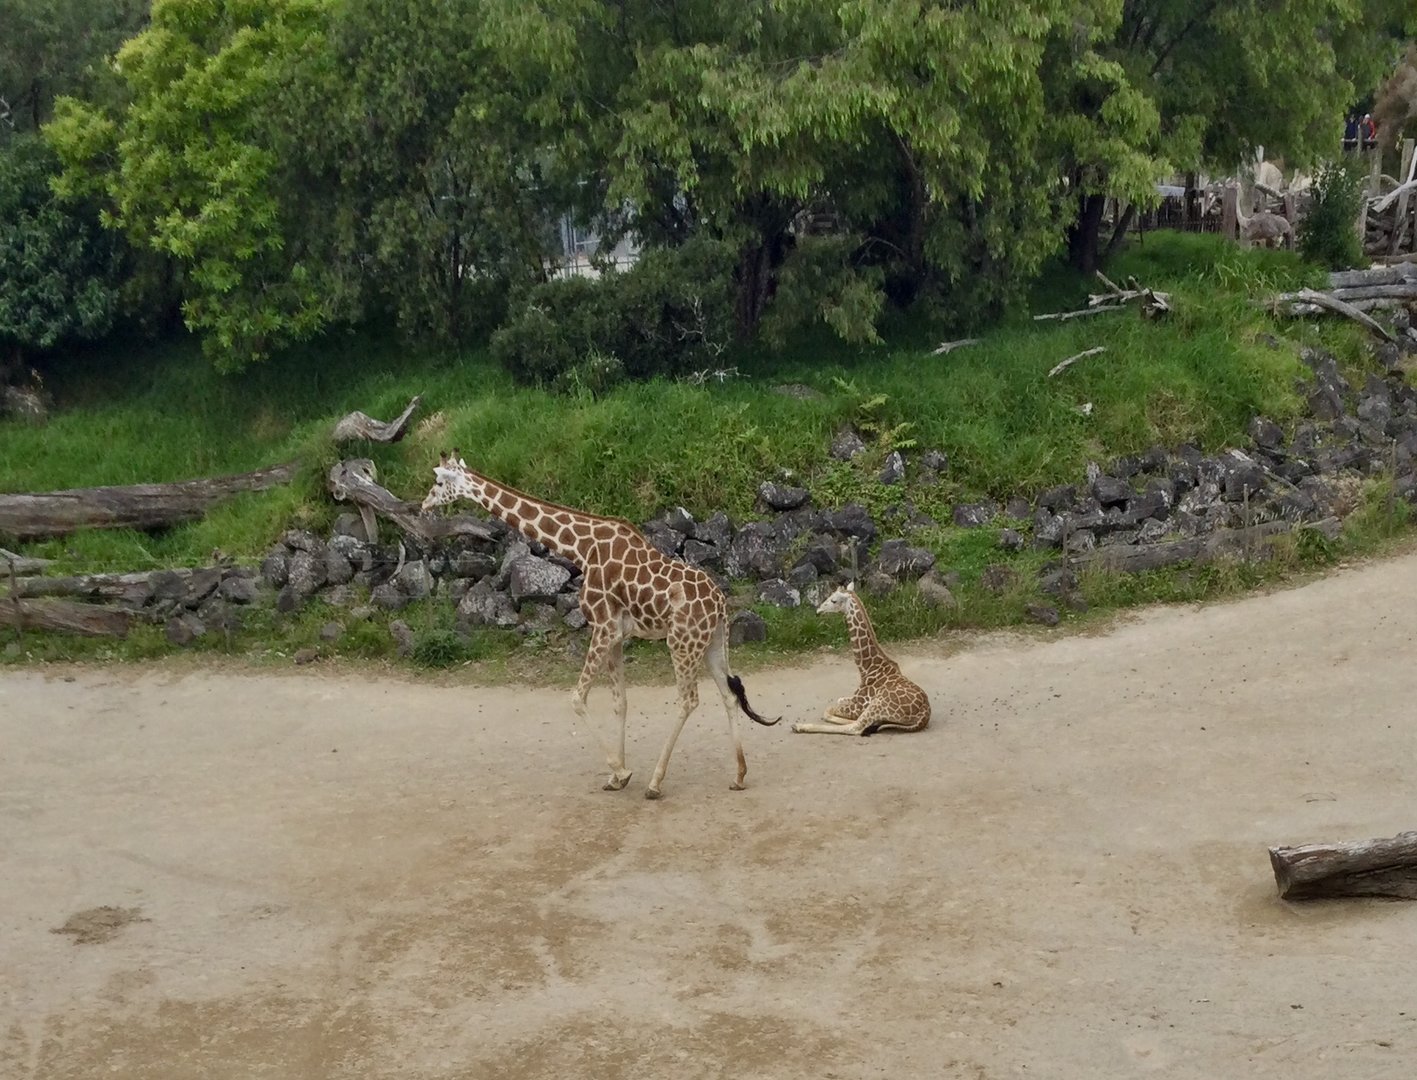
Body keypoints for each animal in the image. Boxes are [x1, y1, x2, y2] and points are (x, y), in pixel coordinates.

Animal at [421, 452, 780, 798]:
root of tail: (720, 604)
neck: (580, 547)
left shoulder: (603, 626)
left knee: (689, 700)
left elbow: (577, 698)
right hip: (712, 642)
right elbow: (620, 702)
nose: (424, 505)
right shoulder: (618, 634)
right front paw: (615, 777)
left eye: (438, 482)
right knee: (729, 695)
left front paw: (622, 772)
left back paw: (656, 782)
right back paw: (739, 775)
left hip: (681, 642)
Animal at [792, 582, 930, 736]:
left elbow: (828, 710)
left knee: (856, 727)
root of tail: (924, 715)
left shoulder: (859, 705)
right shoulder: (853, 699)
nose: (818, 611)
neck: (866, 669)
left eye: (834, 600)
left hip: (878, 704)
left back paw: (800, 726)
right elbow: (838, 701)